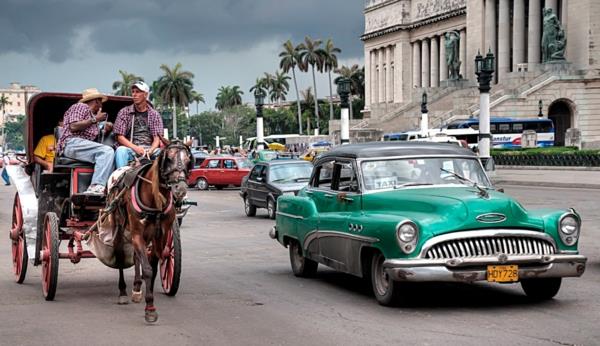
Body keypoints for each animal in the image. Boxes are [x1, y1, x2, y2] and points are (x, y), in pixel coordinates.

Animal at [110, 139, 190, 324]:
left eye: (189, 160)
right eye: (168, 159)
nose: (181, 189)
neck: (154, 201)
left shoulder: (159, 236)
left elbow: (153, 267)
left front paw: (148, 299)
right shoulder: (137, 234)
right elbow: (147, 269)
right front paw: (150, 309)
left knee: (136, 256)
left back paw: (137, 288)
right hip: (119, 226)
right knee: (120, 255)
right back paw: (123, 292)